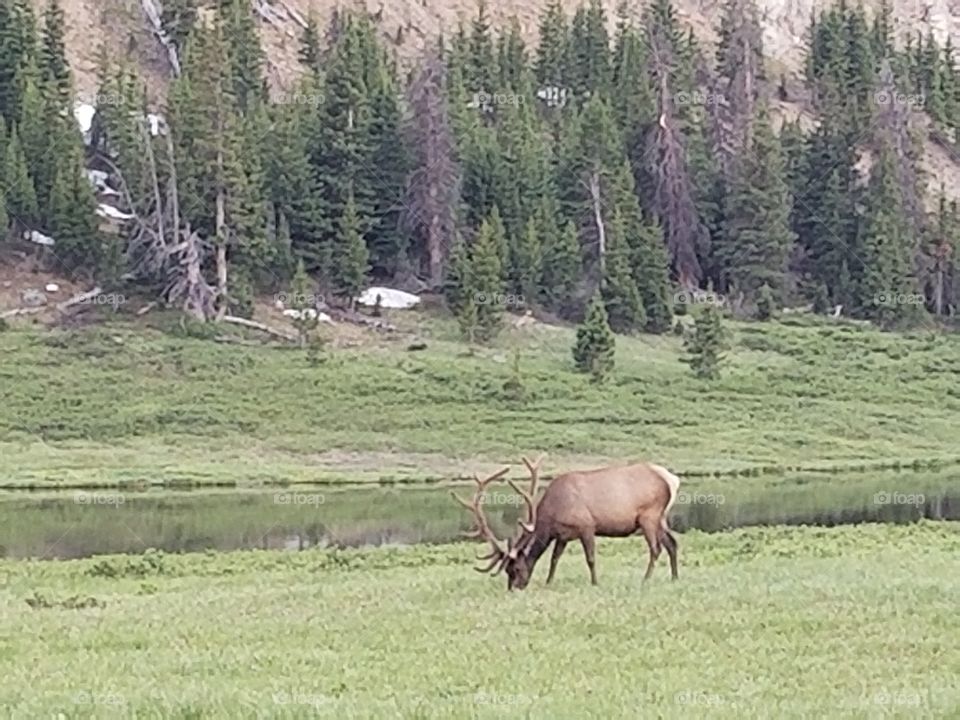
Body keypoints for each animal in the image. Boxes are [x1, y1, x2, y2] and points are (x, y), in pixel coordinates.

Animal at [451, 455, 681, 590]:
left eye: (515, 569)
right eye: (506, 570)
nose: (514, 589)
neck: (553, 512)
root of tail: (671, 479)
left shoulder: (587, 526)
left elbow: (590, 558)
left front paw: (595, 582)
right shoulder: (561, 536)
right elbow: (554, 559)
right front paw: (548, 582)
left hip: (649, 515)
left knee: (656, 548)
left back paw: (646, 579)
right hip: (661, 518)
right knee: (672, 543)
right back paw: (674, 577)